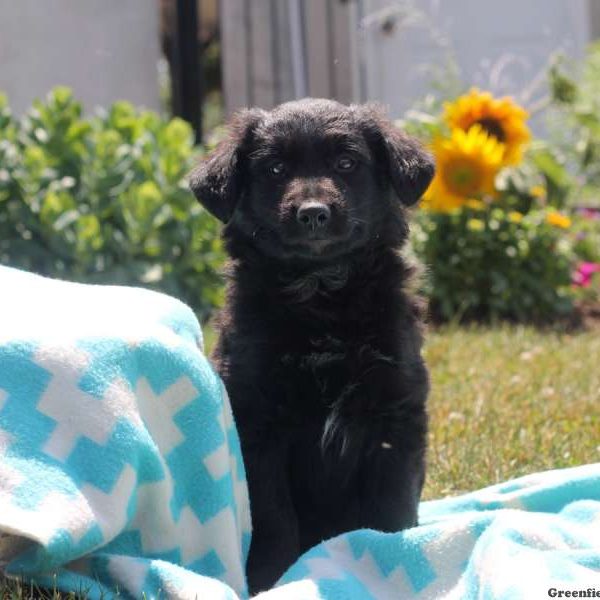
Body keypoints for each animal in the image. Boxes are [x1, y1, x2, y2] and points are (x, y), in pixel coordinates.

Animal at [190, 99, 434, 596]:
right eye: (275, 169)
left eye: (346, 163)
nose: (313, 213)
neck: (322, 294)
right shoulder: (258, 420)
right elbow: (273, 514)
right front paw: (270, 579)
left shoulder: (395, 411)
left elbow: (391, 504)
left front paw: (391, 558)